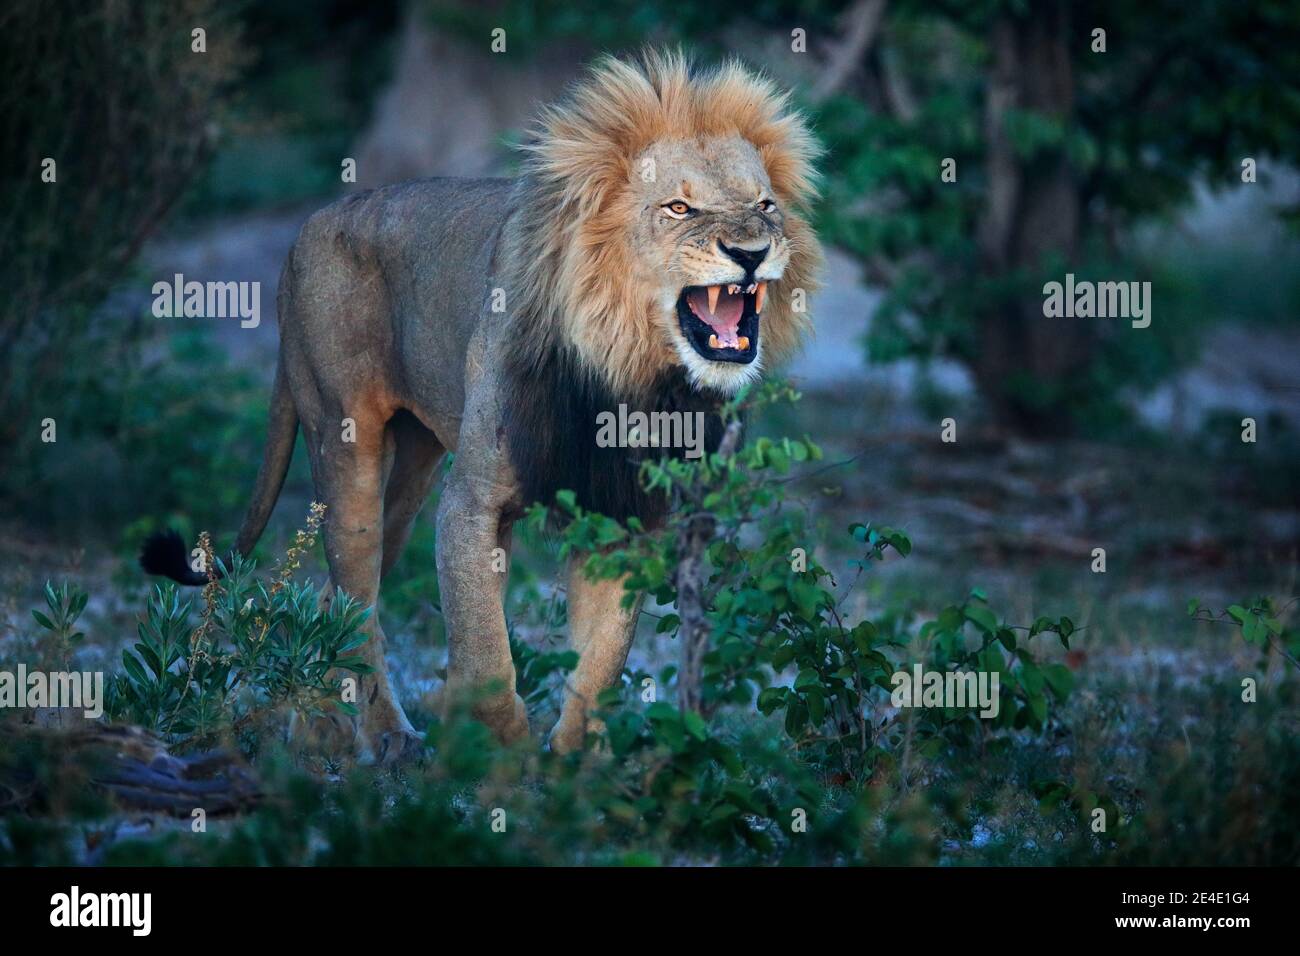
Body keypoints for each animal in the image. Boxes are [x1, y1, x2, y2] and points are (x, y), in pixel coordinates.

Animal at [142, 50, 821, 764]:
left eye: (765, 205)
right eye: (679, 206)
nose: (751, 253)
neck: (624, 368)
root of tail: (306, 230)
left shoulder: (619, 515)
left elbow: (603, 659)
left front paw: (576, 761)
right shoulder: (473, 503)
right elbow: (482, 640)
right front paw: (498, 745)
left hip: (412, 474)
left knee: (336, 592)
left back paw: (321, 725)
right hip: (344, 441)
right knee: (357, 594)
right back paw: (383, 735)